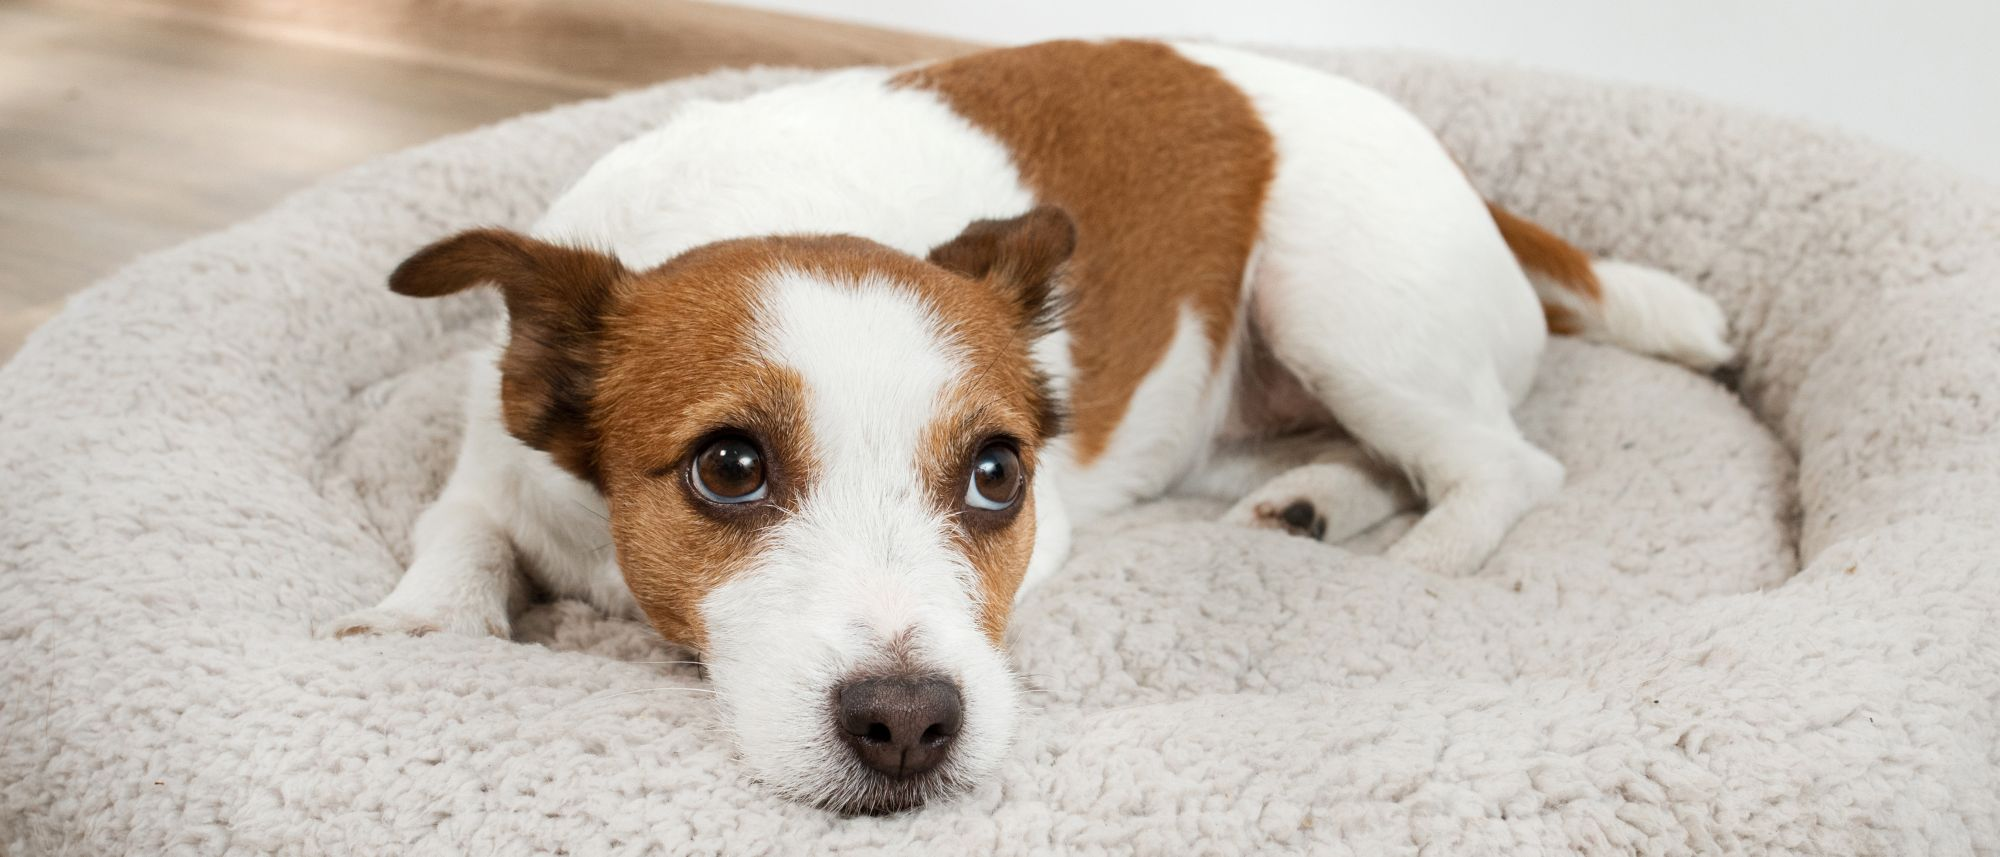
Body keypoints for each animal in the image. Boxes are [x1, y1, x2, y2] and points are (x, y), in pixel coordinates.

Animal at [320, 40, 1728, 812]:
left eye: (998, 472)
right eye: (727, 466)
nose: (906, 723)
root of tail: (1476, 193)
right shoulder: (496, 471)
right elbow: (458, 531)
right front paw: (423, 620)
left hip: (1337, 300)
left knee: (1500, 460)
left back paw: (1422, 559)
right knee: (1388, 455)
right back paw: (1312, 501)